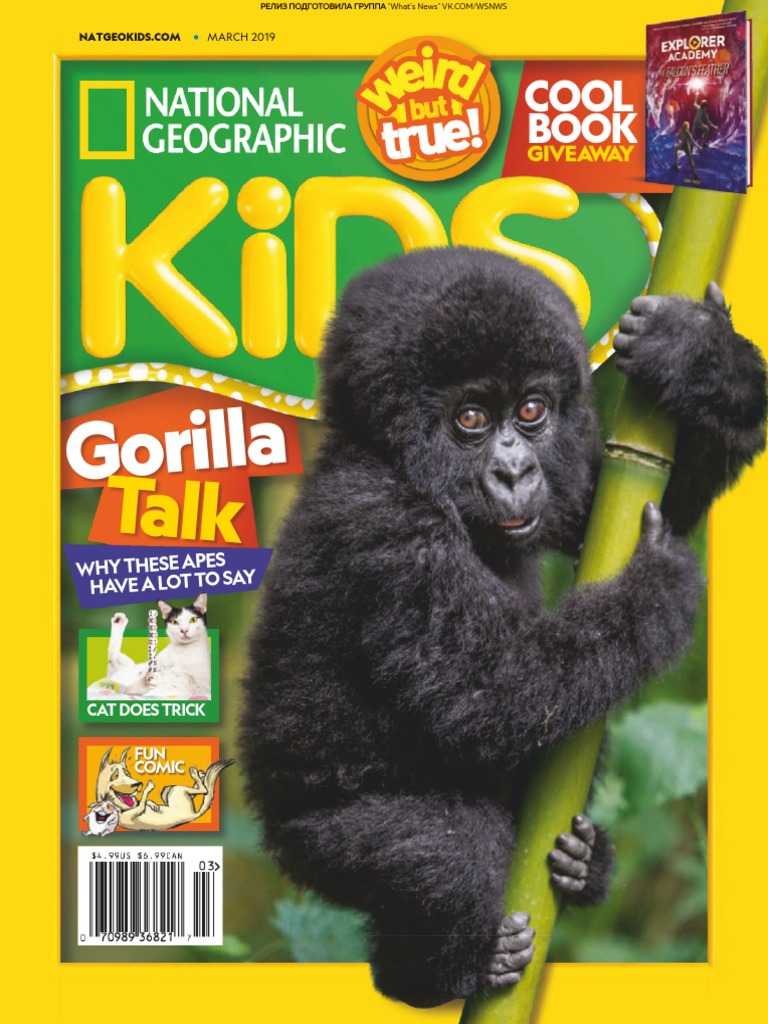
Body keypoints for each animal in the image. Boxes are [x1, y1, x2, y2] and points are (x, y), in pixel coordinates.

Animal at [240, 247, 766, 1007]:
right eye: (471, 418)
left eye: (531, 411)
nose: (515, 472)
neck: (390, 462)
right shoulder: (385, 528)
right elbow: (497, 691)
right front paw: (658, 589)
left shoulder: (567, 484)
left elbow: (638, 499)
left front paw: (702, 355)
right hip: (313, 840)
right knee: (452, 854)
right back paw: (438, 973)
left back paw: (583, 867)